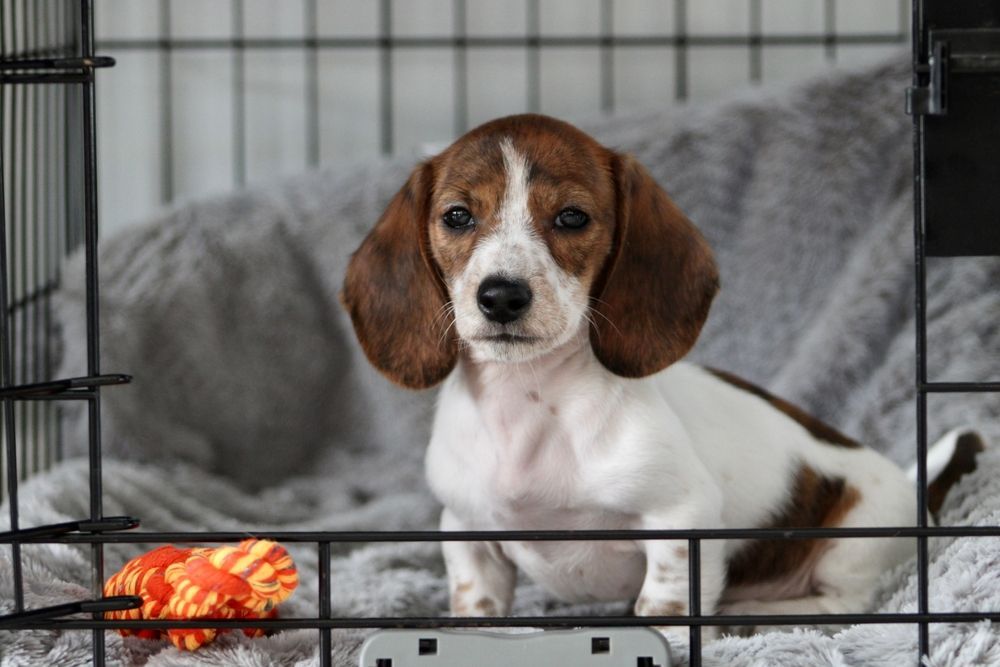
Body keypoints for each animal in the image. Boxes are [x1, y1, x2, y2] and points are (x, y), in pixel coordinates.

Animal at [340, 113, 980, 636]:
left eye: (572, 217)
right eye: (457, 216)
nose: (501, 296)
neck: (533, 404)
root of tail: (917, 493)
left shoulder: (680, 523)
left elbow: (664, 610)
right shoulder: (469, 534)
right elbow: (477, 610)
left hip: (856, 543)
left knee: (844, 604)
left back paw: (752, 613)